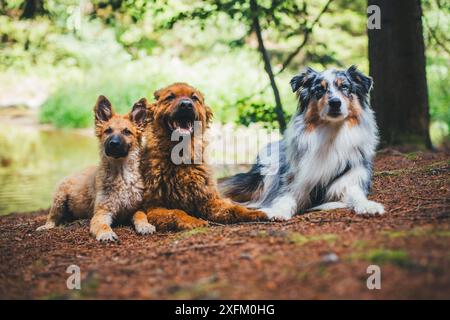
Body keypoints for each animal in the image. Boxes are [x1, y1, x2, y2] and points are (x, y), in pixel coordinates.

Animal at [35, 96, 155, 241]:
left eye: (127, 132)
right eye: (108, 131)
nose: (114, 144)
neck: (121, 174)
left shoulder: (136, 208)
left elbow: (141, 216)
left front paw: (145, 226)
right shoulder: (101, 213)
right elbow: (102, 225)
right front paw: (106, 234)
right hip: (59, 198)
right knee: (52, 218)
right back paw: (46, 226)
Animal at [136, 82, 268, 230]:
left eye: (194, 98)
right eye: (170, 97)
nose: (186, 105)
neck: (181, 156)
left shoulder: (209, 201)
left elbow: (233, 208)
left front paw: (252, 213)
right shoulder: (154, 207)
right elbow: (177, 212)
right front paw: (192, 221)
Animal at [220, 65, 384, 220]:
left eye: (344, 87)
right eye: (319, 89)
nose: (335, 103)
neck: (331, 134)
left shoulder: (351, 178)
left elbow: (357, 195)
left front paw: (369, 206)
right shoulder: (295, 181)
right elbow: (285, 198)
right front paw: (278, 211)